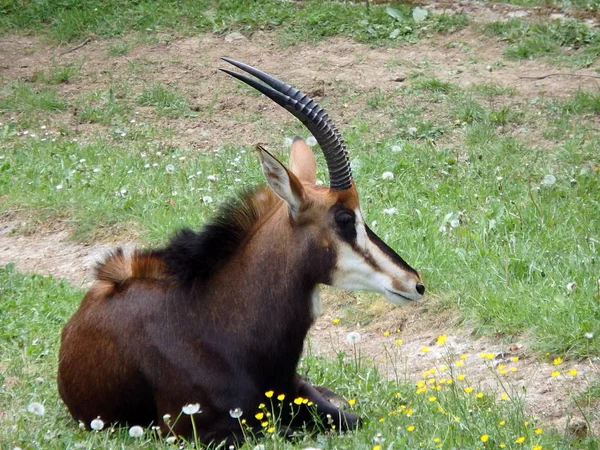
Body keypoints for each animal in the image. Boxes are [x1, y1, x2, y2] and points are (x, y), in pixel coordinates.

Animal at [55, 58, 422, 444]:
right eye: (344, 218)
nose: (414, 283)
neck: (217, 324)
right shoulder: (197, 432)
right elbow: (282, 431)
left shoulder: (302, 395)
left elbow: (352, 419)